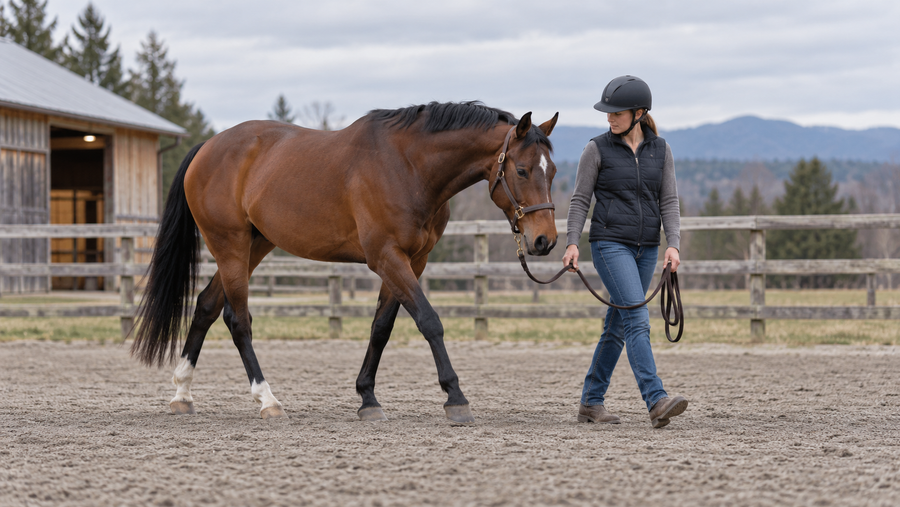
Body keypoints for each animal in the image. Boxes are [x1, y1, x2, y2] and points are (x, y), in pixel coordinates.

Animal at [132, 101, 559, 424]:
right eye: (522, 170)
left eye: (552, 170)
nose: (545, 240)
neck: (409, 166)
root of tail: (207, 147)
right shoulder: (386, 257)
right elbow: (429, 321)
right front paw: (456, 398)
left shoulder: (412, 261)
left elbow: (381, 328)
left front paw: (367, 399)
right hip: (230, 246)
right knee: (237, 320)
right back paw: (268, 400)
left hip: (254, 245)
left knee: (206, 305)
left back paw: (183, 392)